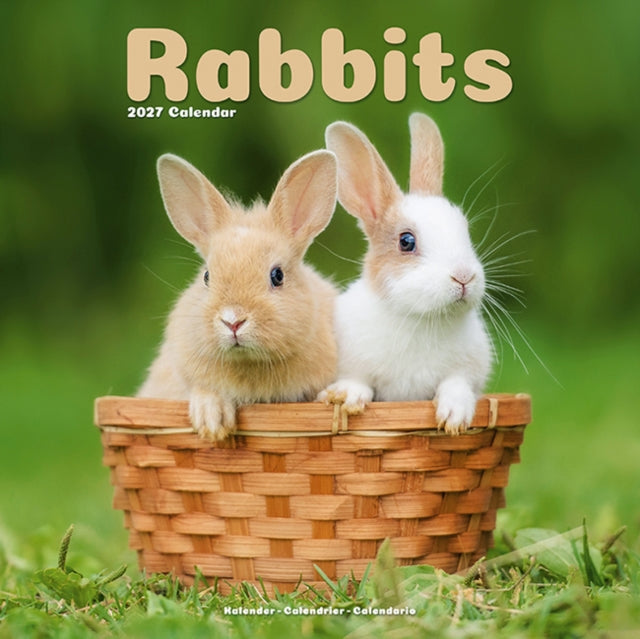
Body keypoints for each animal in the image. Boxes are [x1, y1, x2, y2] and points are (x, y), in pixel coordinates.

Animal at [318, 113, 492, 434]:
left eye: (465, 230)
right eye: (406, 241)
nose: (463, 277)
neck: (421, 318)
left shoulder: (468, 371)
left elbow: (457, 384)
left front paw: (454, 418)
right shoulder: (352, 363)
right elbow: (359, 382)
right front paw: (345, 397)